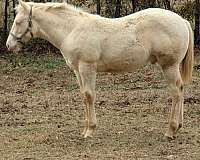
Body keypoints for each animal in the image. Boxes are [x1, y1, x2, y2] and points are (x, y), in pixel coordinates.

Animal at [6, 0, 194, 139]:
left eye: (18, 22)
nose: (9, 45)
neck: (72, 29)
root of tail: (182, 21)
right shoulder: (77, 70)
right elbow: (83, 96)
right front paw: (85, 129)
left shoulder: (87, 67)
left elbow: (90, 96)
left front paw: (90, 130)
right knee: (181, 88)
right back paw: (179, 126)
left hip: (169, 65)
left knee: (175, 91)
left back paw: (170, 130)